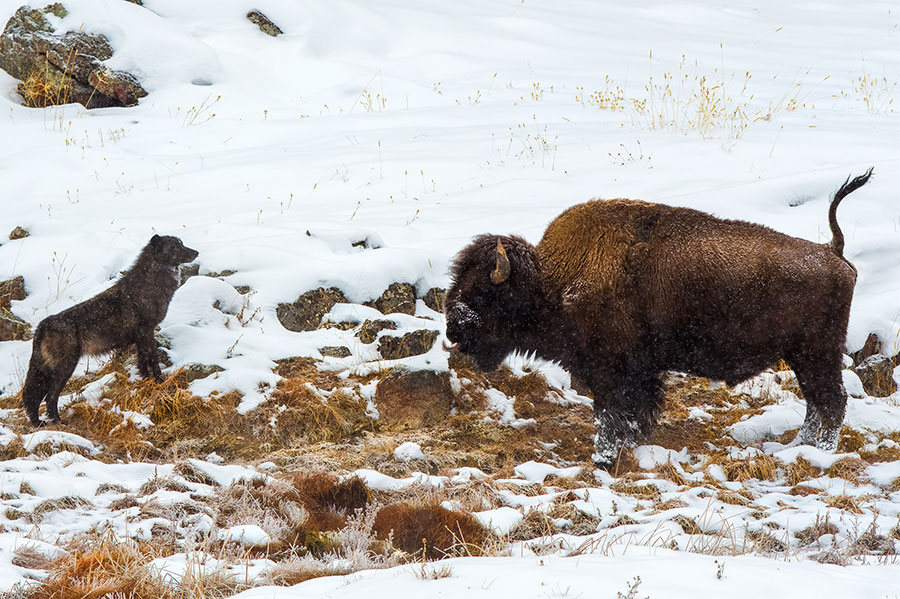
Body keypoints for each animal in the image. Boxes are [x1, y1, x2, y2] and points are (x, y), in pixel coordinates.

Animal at [446, 170, 876, 468]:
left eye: (483, 293)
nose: (452, 327)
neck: (552, 281)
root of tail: (832, 251)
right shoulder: (641, 372)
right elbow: (639, 411)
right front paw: (633, 445)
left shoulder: (610, 372)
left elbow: (609, 415)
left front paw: (604, 458)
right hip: (805, 356)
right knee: (817, 403)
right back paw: (798, 446)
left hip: (816, 353)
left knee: (830, 401)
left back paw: (817, 452)